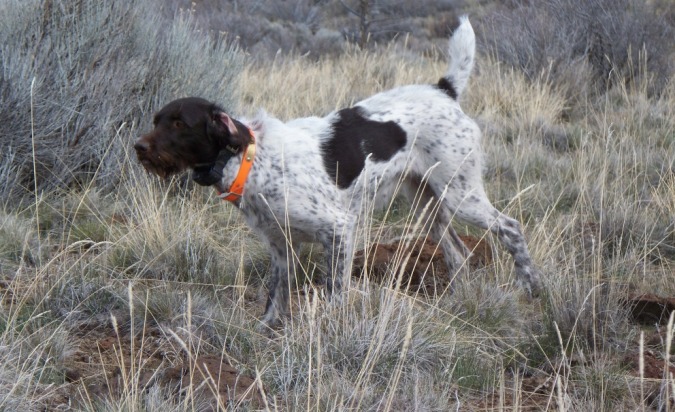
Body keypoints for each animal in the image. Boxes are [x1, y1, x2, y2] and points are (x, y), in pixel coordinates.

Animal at [136, 16, 544, 328]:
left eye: (179, 124)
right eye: (156, 120)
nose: (139, 148)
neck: (251, 159)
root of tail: (444, 90)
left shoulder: (338, 231)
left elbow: (335, 291)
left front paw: (329, 327)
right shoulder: (280, 246)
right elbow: (276, 295)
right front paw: (267, 329)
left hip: (461, 195)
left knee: (510, 228)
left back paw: (532, 288)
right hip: (427, 203)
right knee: (457, 254)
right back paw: (458, 301)